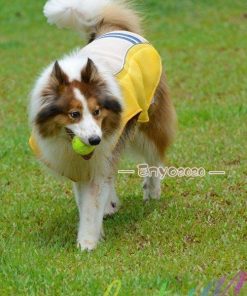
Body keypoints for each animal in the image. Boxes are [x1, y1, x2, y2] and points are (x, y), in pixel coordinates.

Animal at [28, 0, 176, 251]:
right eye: (74, 114)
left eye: (97, 112)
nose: (94, 140)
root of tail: (111, 28)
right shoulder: (79, 164)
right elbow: (86, 197)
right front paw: (97, 225)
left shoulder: (102, 150)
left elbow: (91, 203)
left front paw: (87, 243)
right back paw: (111, 204)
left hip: (149, 121)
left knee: (154, 156)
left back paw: (152, 190)